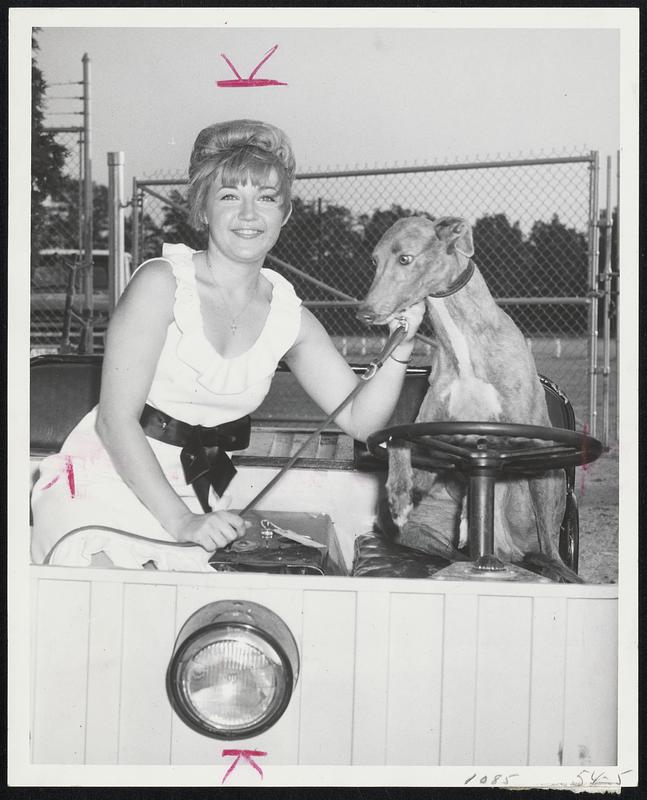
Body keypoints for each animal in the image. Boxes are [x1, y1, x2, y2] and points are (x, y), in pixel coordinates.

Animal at [356, 216, 584, 584]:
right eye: (374, 261)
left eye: (405, 258)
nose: (364, 314)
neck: (463, 343)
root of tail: (505, 549)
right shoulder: (429, 426)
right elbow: (399, 440)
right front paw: (399, 490)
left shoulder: (525, 433)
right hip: (418, 523)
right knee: (453, 552)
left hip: (546, 484)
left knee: (551, 551)